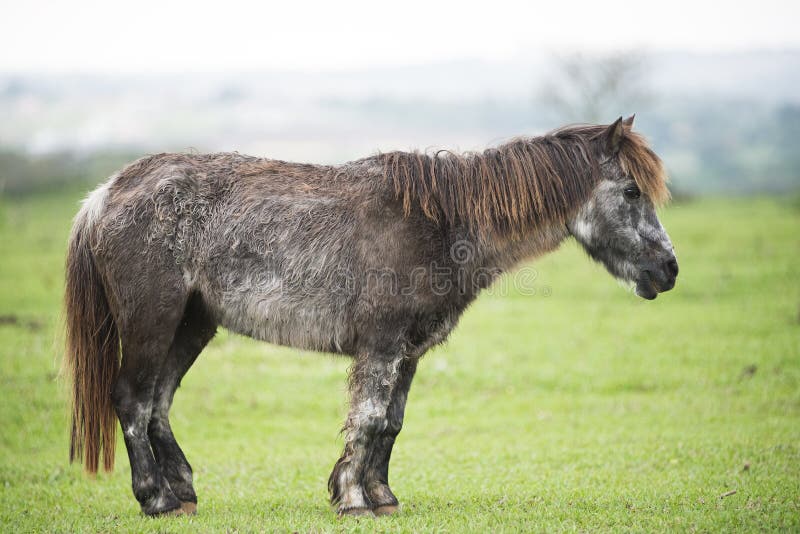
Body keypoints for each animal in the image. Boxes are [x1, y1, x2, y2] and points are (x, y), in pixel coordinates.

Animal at [64, 116, 676, 520]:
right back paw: (156, 499)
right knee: (133, 400)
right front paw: (355, 501)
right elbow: (368, 419)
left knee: (159, 402)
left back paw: (184, 494)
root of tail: (104, 195)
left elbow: (391, 425)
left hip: (191, 325)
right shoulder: (381, 347)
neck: (442, 222)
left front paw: (380, 498)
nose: (668, 270)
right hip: (153, 321)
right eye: (630, 191)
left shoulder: (409, 352)